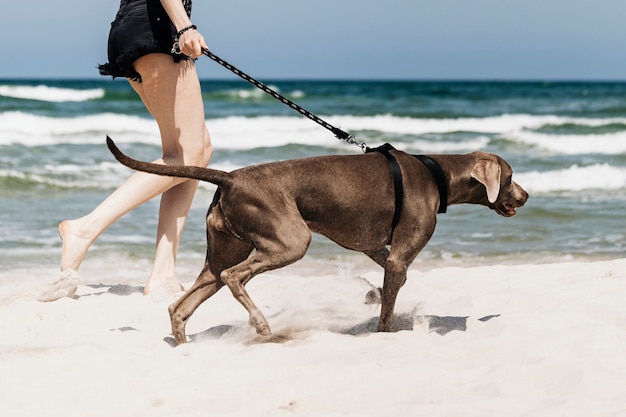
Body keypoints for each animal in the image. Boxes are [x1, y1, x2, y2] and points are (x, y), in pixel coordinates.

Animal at [106, 137, 528, 344]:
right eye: (509, 177)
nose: (525, 197)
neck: (437, 172)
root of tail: (228, 178)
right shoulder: (397, 253)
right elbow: (389, 305)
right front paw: (385, 331)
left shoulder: (371, 244)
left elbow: (389, 275)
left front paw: (373, 293)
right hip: (290, 240)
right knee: (234, 276)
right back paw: (261, 325)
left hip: (223, 249)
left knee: (183, 303)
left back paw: (184, 344)